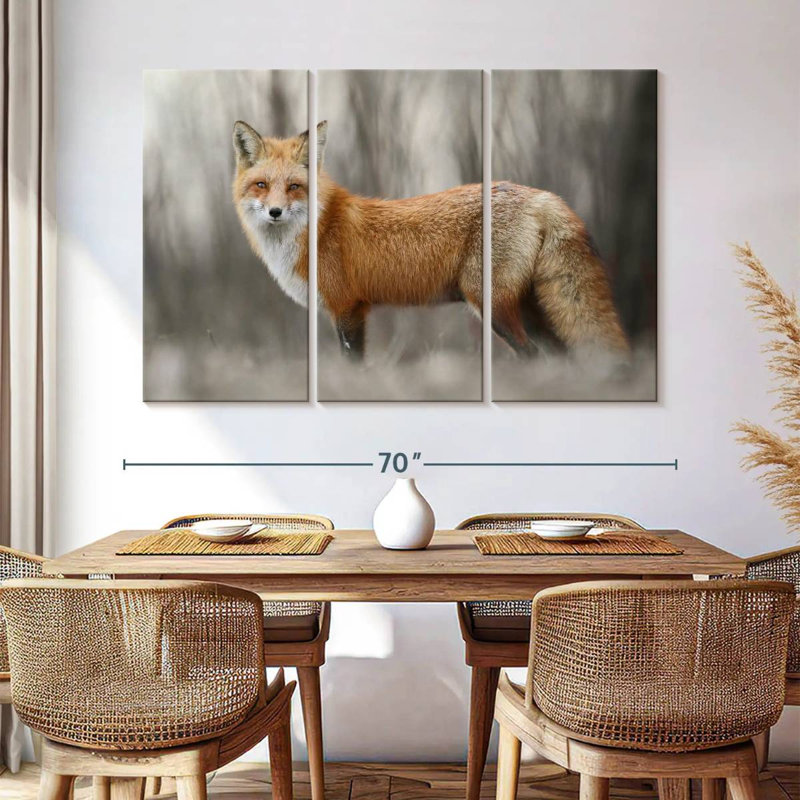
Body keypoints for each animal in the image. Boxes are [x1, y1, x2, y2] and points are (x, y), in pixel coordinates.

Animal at [232, 119, 630, 361]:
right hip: (530, 309)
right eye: (261, 185)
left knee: (532, 354)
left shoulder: (347, 308)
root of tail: (542, 194)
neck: (315, 230)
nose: (275, 212)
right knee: (559, 356)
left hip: (493, 305)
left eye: (294, 187)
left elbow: (353, 364)